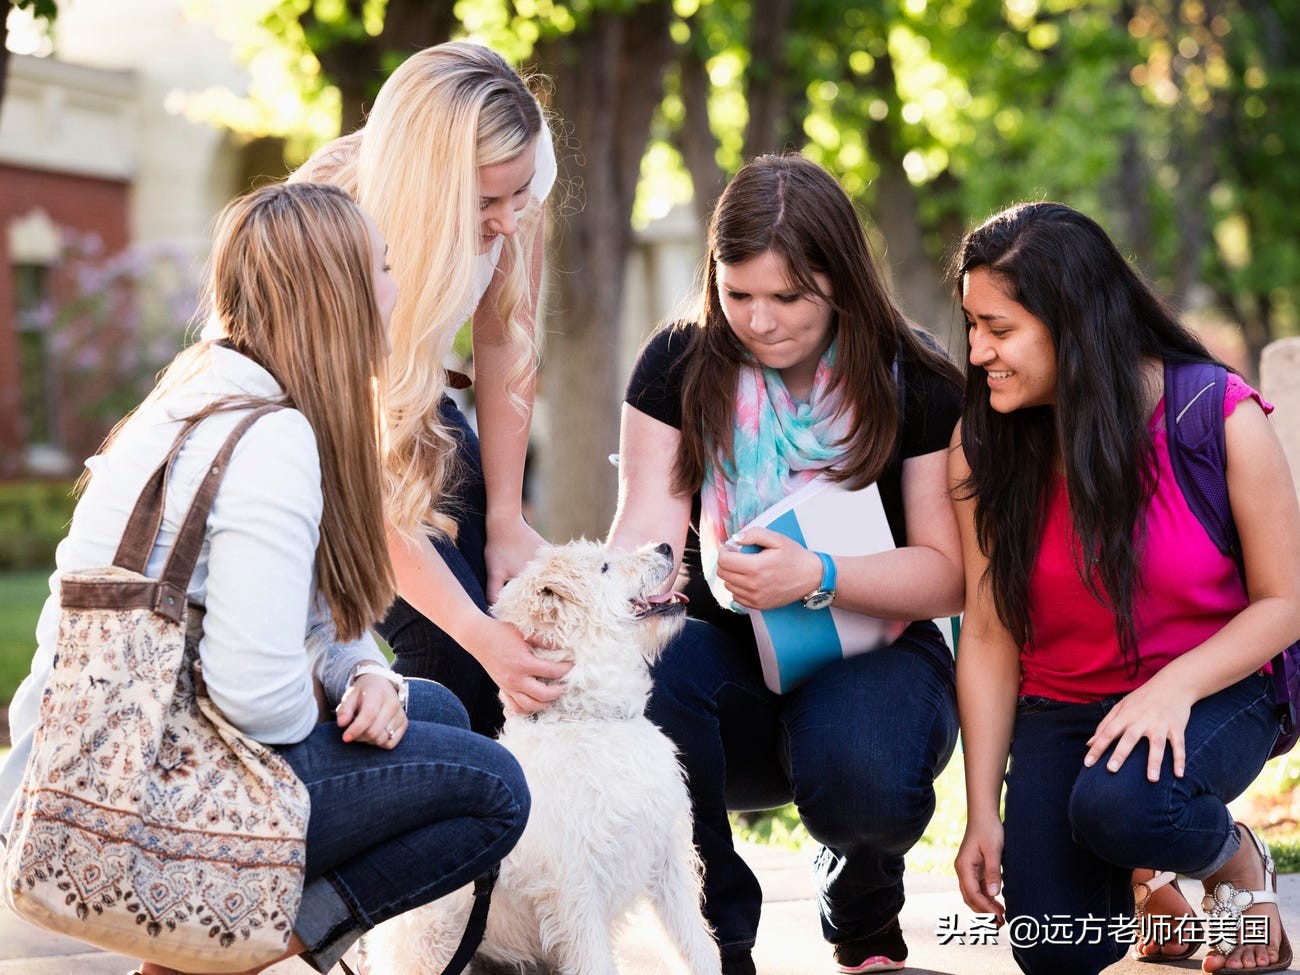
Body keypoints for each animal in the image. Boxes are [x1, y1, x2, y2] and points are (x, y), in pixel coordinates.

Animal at [361, 543, 722, 975]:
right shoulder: (577, 890)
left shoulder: (668, 861)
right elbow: (595, 963)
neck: (594, 719)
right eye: (604, 566)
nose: (666, 547)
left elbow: (698, 946)